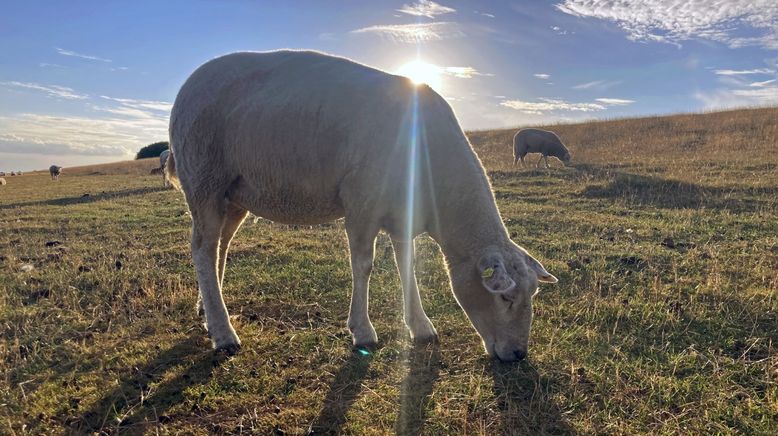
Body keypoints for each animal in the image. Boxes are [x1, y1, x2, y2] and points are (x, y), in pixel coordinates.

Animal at [167, 50, 556, 362]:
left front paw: (421, 326)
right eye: (505, 298)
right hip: (203, 178)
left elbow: (407, 267)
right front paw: (363, 331)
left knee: (219, 247)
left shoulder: (403, 216)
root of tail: (190, 83)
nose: (519, 355)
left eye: (532, 294)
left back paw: (207, 311)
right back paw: (223, 334)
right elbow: (364, 266)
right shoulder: (361, 204)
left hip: (233, 195)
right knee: (202, 249)